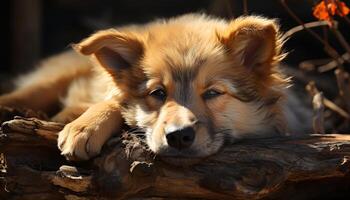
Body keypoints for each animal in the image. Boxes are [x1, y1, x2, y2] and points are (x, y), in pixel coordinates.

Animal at [0, 13, 310, 164]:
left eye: (213, 93)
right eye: (157, 94)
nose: (179, 137)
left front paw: (81, 124)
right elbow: (115, 100)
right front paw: (85, 127)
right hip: (59, 73)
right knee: (32, 91)